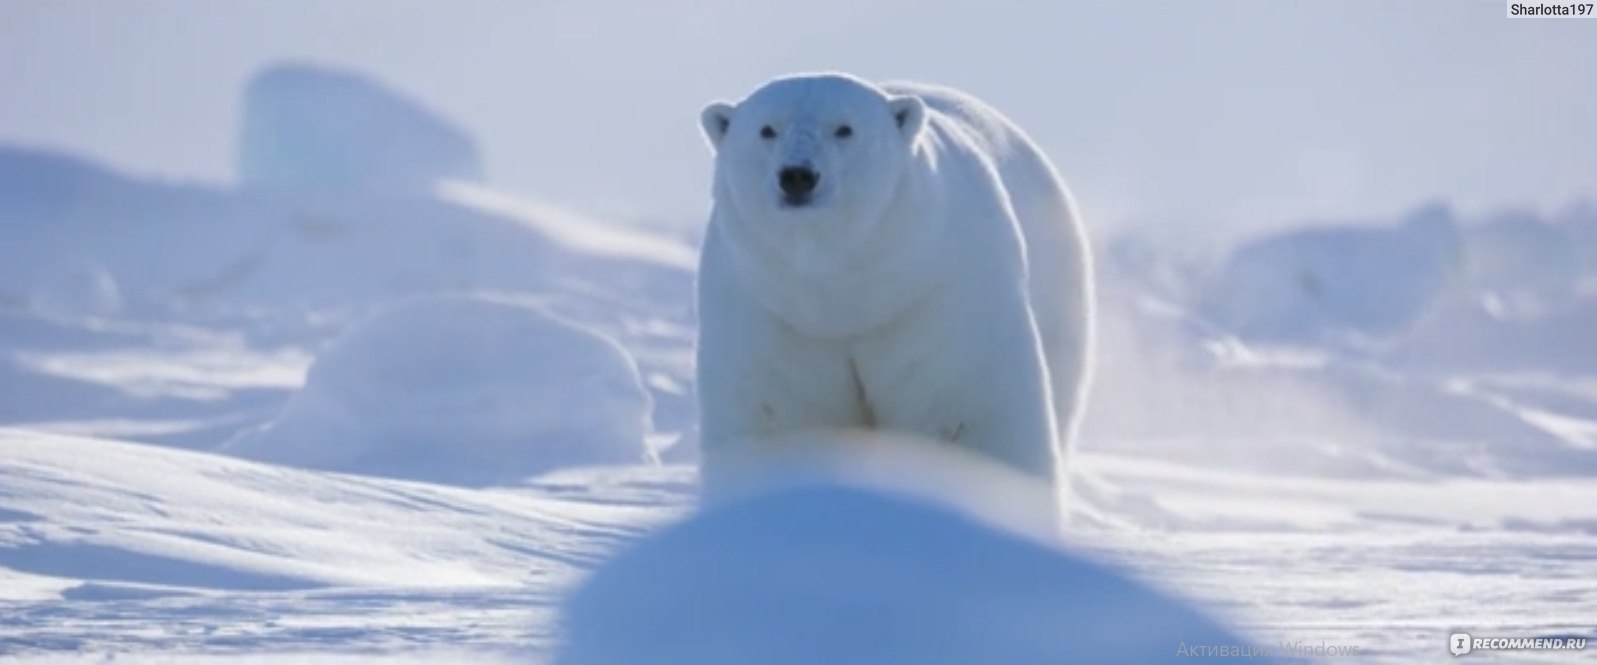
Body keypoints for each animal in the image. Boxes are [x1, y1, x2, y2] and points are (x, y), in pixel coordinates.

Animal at [693, 72, 1092, 498]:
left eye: (844, 128)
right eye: (767, 129)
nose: (797, 175)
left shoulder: (941, 295)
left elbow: (967, 415)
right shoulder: (769, 313)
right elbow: (779, 420)